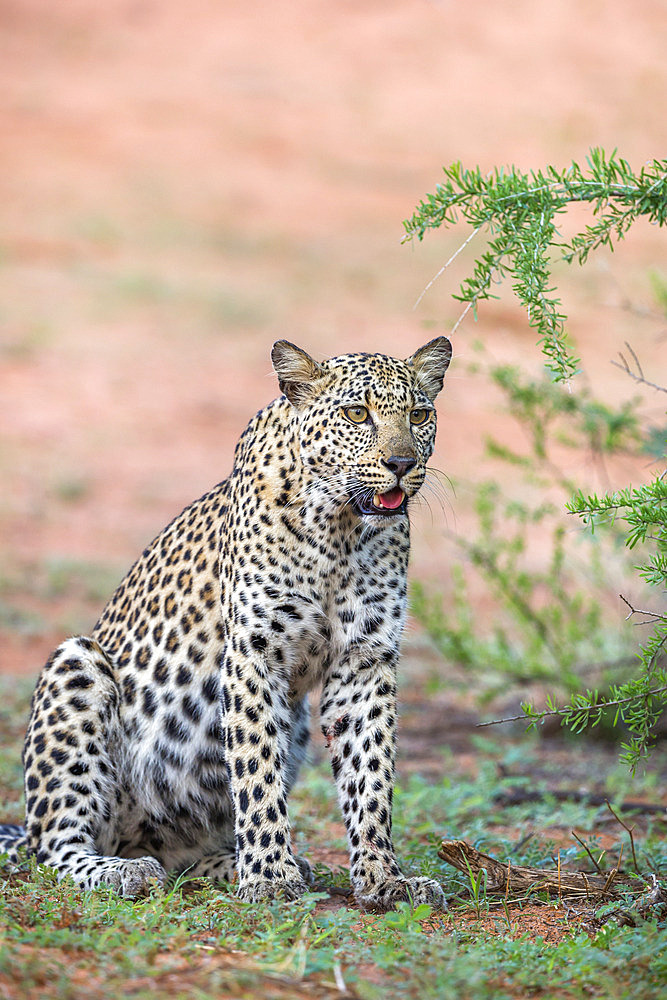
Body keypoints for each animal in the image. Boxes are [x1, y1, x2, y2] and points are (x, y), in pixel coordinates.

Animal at [0, 334, 454, 908]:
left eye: (419, 415)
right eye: (357, 414)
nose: (401, 462)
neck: (342, 530)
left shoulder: (364, 660)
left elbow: (369, 775)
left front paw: (383, 878)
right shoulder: (254, 652)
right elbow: (256, 767)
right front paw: (268, 876)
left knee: (179, 855)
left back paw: (236, 863)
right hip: (75, 664)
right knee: (55, 847)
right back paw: (125, 872)